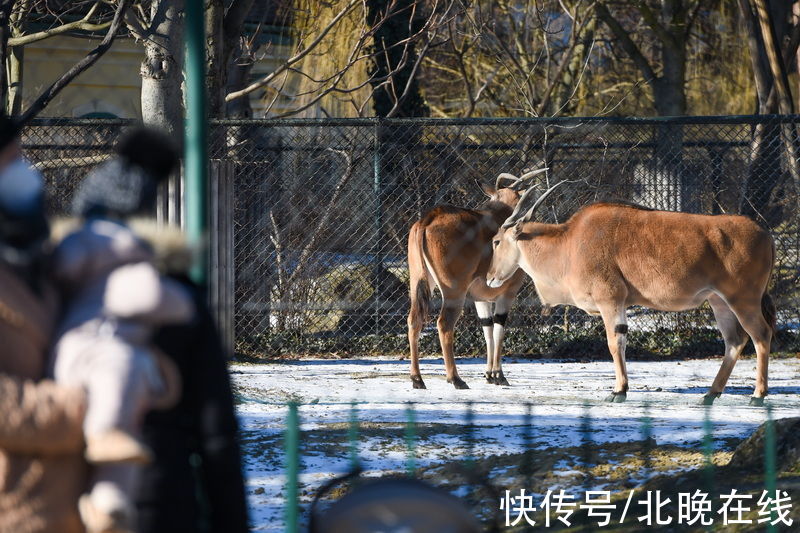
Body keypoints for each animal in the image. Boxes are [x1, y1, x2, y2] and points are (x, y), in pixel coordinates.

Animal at [406, 168, 552, 388]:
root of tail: (427, 220)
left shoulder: (480, 299)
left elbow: (487, 329)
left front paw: (490, 375)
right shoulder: (507, 294)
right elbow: (498, 329)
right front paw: (499, 375)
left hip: (419, 283)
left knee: (414, 320)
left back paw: (417, 378)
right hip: (453, 291)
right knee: (444, 324)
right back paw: (455, 378)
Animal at [484, 181, 780, 406]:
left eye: (496, 241)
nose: (489, 277)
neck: (569, 244)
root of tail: (766, 234)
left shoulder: (610, 301)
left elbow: (615, 343)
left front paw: (619, 391)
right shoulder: (620, 304)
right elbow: (622, 342)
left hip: (743, 300)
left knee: (761, 335)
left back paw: (758, 395)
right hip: (719, 302)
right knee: (735, 341)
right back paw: (710, 393)